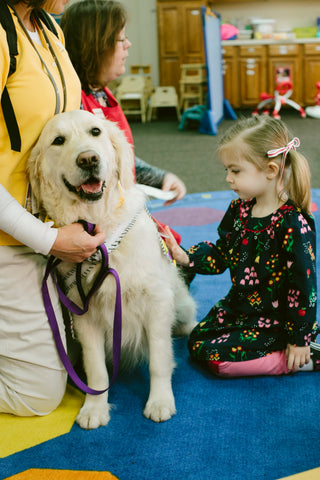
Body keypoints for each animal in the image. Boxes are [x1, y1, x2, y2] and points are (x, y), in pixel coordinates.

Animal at [27, 109, 196, 432]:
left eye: (95, 131)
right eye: (58, 140)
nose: (88, 159)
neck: (99, 227)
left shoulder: (157, 302)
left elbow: (159, 359)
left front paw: (160, 401)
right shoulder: (83, 314)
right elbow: (96, 371)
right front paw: (95, 408)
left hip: (179, 301)